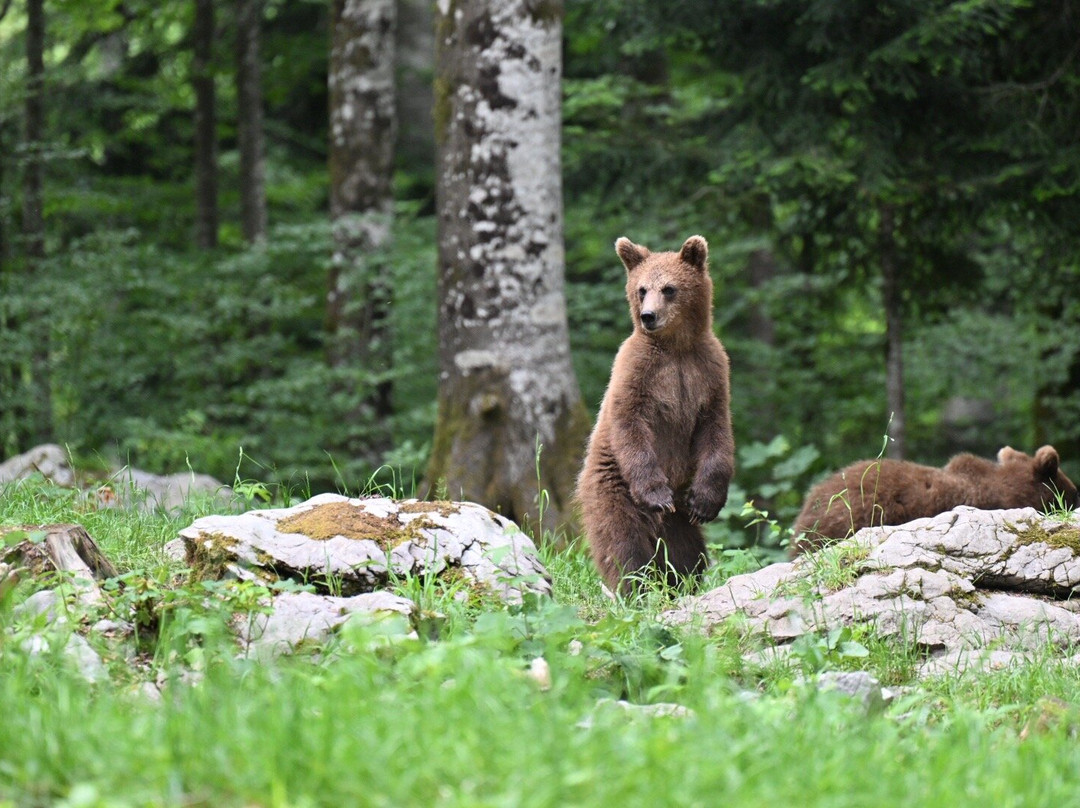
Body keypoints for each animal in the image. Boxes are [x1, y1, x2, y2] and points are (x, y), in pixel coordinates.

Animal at [575, 235, 735, 594]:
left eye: (669, 288)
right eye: (642, 289)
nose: (649, 316)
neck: (675, 347)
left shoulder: (709, 374)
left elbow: (716, 433)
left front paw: (705, 502)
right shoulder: (636, 373)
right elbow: (630, 424)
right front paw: (658, 494)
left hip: (677, 521)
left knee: (688, 552)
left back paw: (682, 583)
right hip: (612, 488)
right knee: (624, 544)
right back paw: (637, 588)